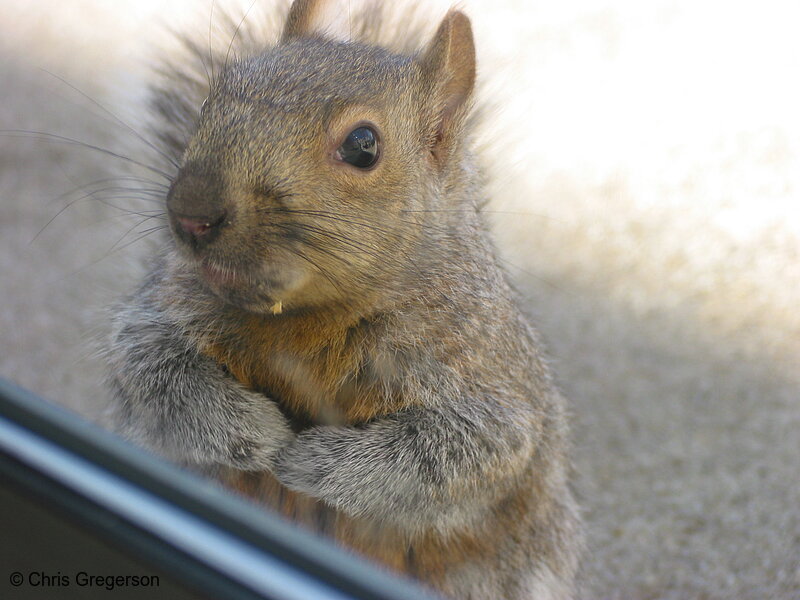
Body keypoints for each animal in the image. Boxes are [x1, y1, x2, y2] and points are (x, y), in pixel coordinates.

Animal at [104, 2, 580, 596]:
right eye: (215, 96)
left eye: (363, 145)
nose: (190, 213)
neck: (305, 317)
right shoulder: (161, 311)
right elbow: (151, 368)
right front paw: (255, 433)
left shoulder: (489, 378)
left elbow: (455, 454)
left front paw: (314, 463)